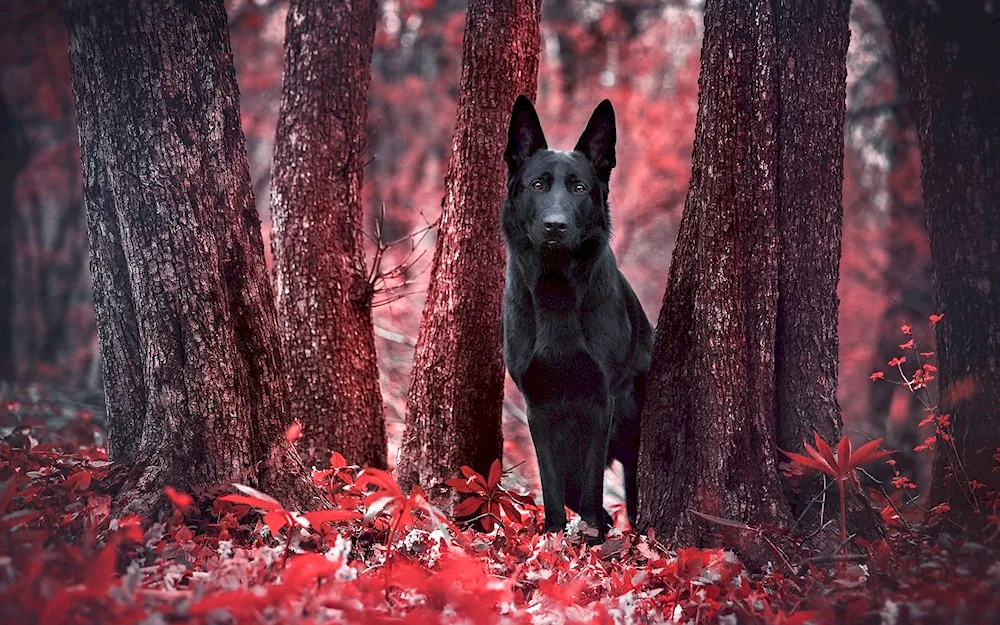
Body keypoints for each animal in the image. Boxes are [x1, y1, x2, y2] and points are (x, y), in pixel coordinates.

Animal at [500, 95, 656, 532]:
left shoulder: (600, 403)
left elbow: (589, 486)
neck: (557, 292)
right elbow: (554, 485)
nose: (555, 226)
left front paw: (591, 536)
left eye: (579, 187)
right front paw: (555, 535)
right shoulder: (538, 408)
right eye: (538, 185)